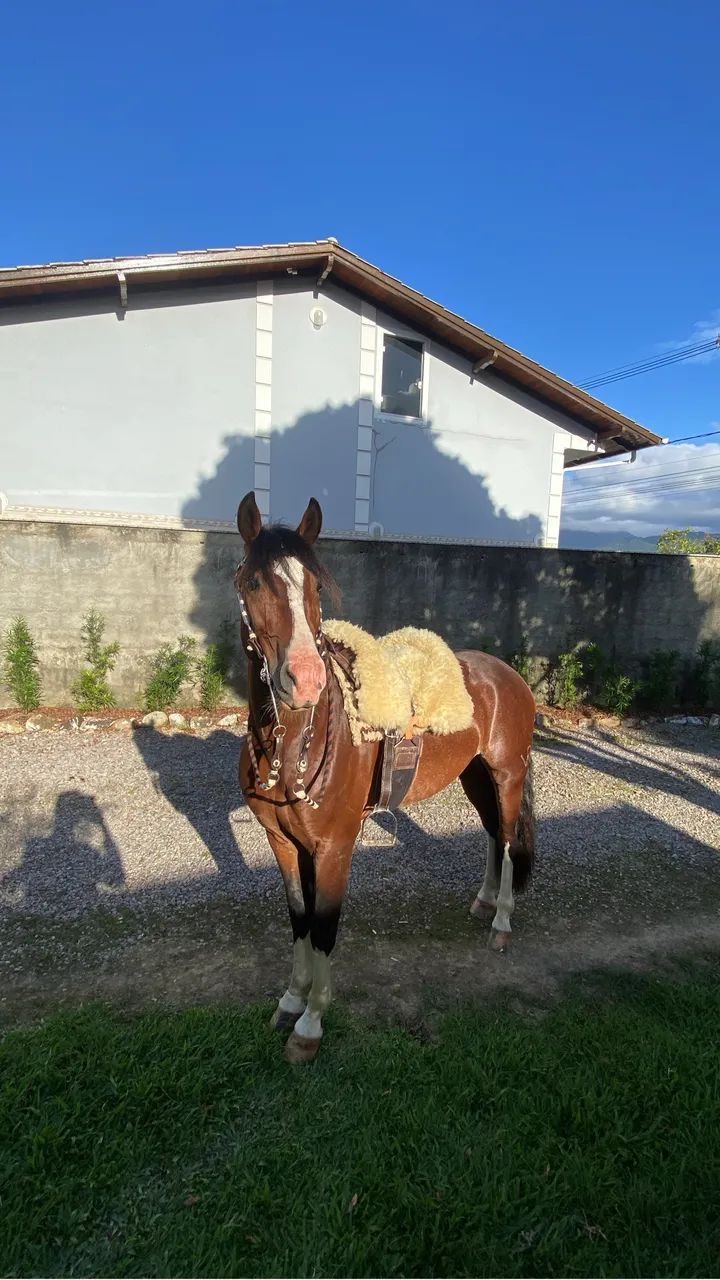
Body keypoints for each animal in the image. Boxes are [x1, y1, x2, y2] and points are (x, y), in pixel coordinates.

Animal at [235, 492, 536, 1063]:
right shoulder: (282, 844)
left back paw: (503, 922)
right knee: (492, 833)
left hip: (507, 775)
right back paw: (484, 902)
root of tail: (506, 674)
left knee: (509, 841)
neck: (295, 745)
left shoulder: (333, 848)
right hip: (475, 776)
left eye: (314, 587)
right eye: (254, 582)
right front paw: (289, 1002)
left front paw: (310, 1025)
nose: (305, 681)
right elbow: (299, 921)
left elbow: (325, 928)